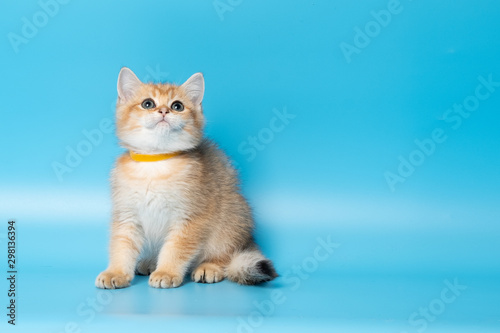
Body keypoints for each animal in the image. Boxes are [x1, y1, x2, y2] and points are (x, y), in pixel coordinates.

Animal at [94, 67, 278, 288]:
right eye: (148, 103)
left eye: (177, 106)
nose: (164, 111)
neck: (156, 164)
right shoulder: (127, 215)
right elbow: (121, 246)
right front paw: (116, 272)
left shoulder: (190, 217)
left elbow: (176, 248)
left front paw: (166, 272)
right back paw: (150, 262)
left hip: (231, 217)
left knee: (225, 254)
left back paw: (209, 266)